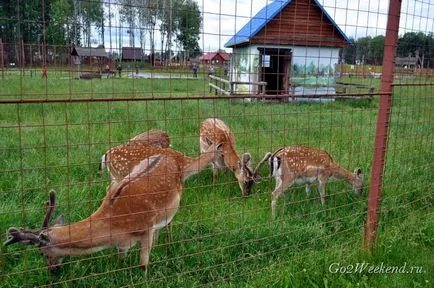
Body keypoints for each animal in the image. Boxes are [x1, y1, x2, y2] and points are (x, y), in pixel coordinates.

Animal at [5, 143, 224, 272]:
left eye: (41, 253)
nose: (52, 271)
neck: (115, 225)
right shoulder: (123, 243)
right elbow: (121, 260)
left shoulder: (146, 228)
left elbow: (143, 264)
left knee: (167, 224)